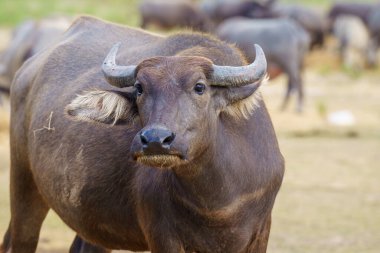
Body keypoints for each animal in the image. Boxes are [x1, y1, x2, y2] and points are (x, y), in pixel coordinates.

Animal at [0, 16, 284, 253]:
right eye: (139, 88)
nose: (156, 140)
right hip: (23, 183)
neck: (216, 204)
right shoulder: (162, 235)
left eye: (200, 87)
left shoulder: (261, 233)